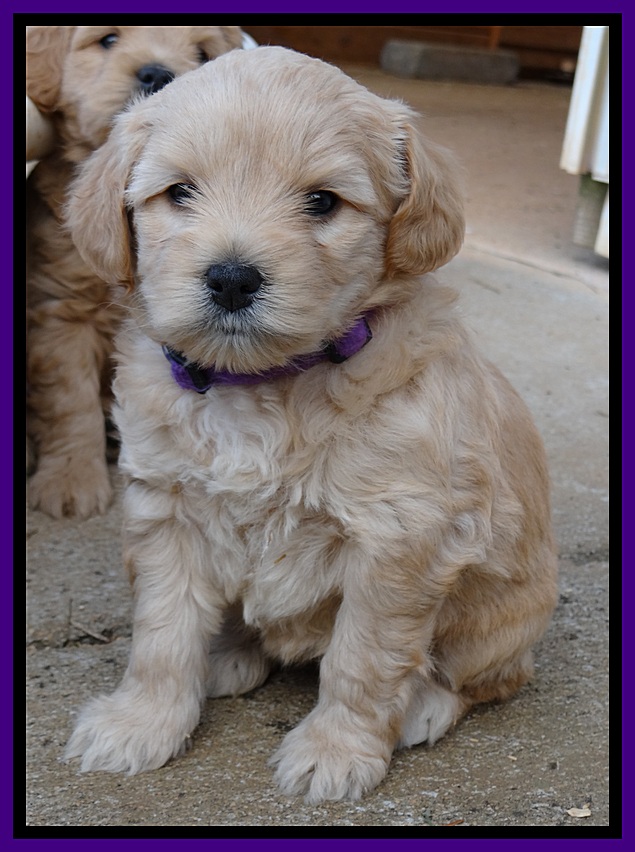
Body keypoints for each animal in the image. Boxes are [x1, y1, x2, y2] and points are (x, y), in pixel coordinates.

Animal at [26, 25, 250, 518]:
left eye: (202, 54)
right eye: (108, 39)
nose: (158, 73)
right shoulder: (62, 315)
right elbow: (70, 402)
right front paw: (72, 477)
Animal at [63, 47, 558, 802]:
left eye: (322, 202)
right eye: (180, 193)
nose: (232, 279)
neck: (262, 386)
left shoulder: (397, 540)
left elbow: (362, 658)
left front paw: (336, 751)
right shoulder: (166, 515)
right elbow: (161, 635)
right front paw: (140, 723)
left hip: (503, 615)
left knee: (489, 677)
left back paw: (427, 703)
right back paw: (228, 654)